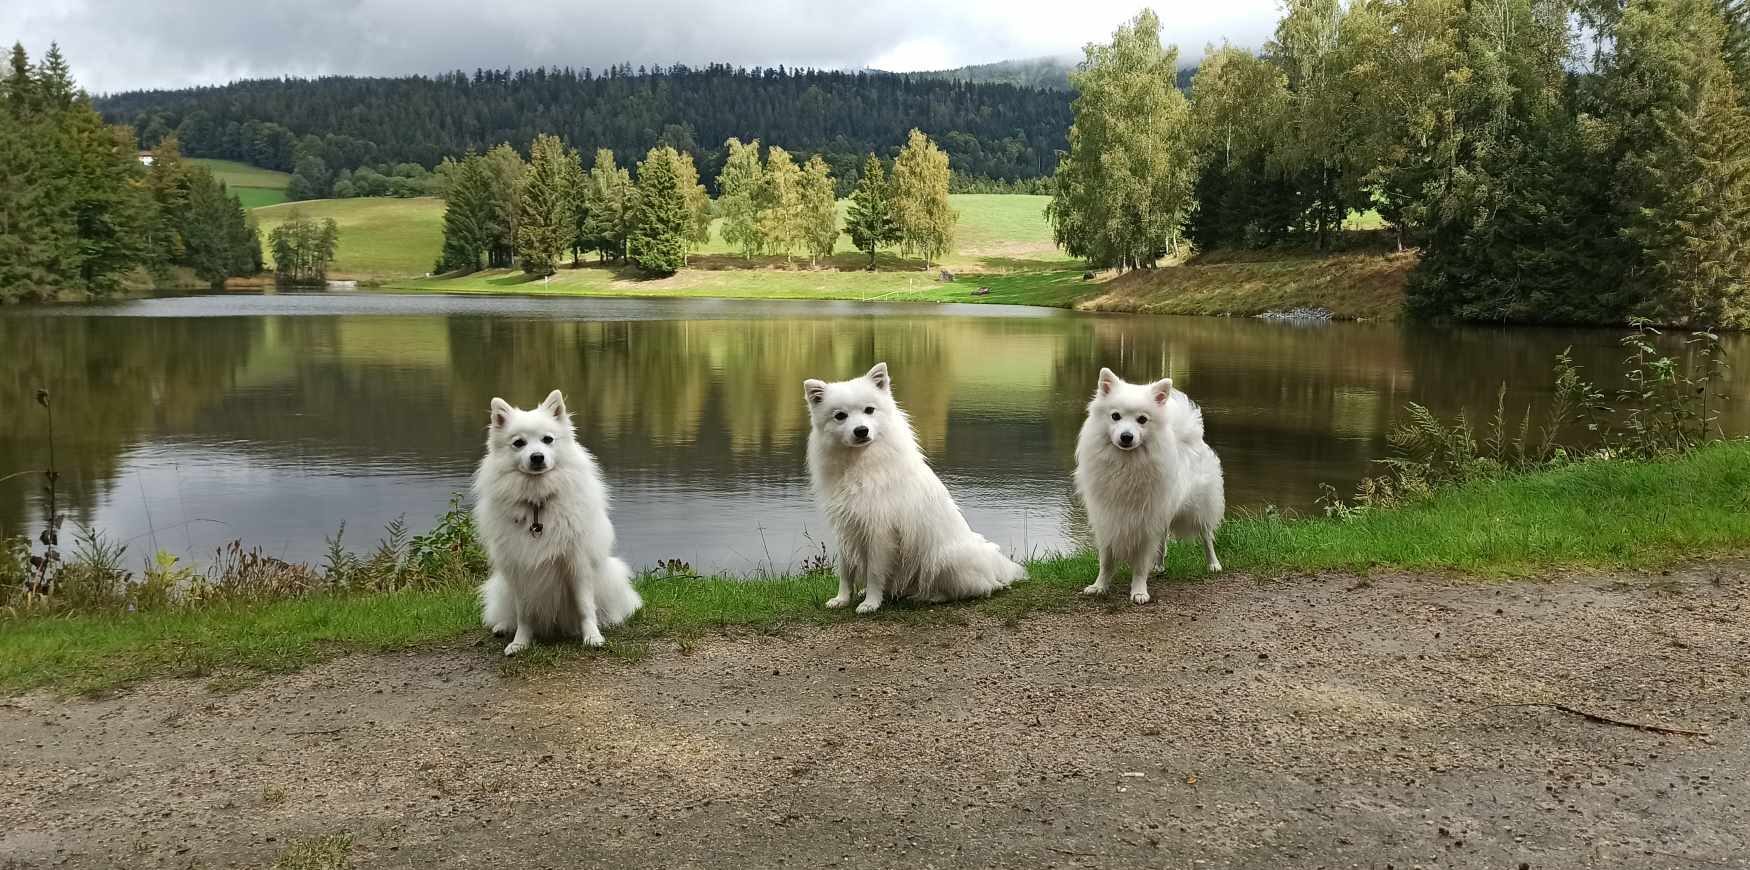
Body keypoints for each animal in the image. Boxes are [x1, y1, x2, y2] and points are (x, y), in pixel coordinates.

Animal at [472, 390, 644, 654]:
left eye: (547, 439)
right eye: (519, 443)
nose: (537, 457)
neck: (537, 505)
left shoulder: (577, 564)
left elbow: (585, 607)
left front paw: (592, 637)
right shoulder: (520, 569)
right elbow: (524, 614)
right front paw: (520, 643)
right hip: (502, 586)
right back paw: (502, 626)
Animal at [805, 358, 1022, 609]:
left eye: (869, 410)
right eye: (840, 416)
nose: (861, 431)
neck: (860, 463)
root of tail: (993, 568)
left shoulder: (879, 530)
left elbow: (874, 573)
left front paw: (871, 603)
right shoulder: (846, 527)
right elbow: (846, 571)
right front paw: (843, 599)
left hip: (941, 559)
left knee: (971, 589)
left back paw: (927, 596)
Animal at [1071, 365, 1225, 602]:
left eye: (1142, 420)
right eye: (1115, 416)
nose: (1126, 436)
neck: (1126, 464)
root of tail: (1191, 436)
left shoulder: (1145, 522)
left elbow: (1140, 563)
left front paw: (1139, 591)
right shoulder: (1107, 518)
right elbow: (1106, 560)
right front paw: (1100, 586)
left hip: (1200, 509)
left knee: (1207, 536)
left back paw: (1213, 564)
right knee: (1163, 540)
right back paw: (1159, 566)